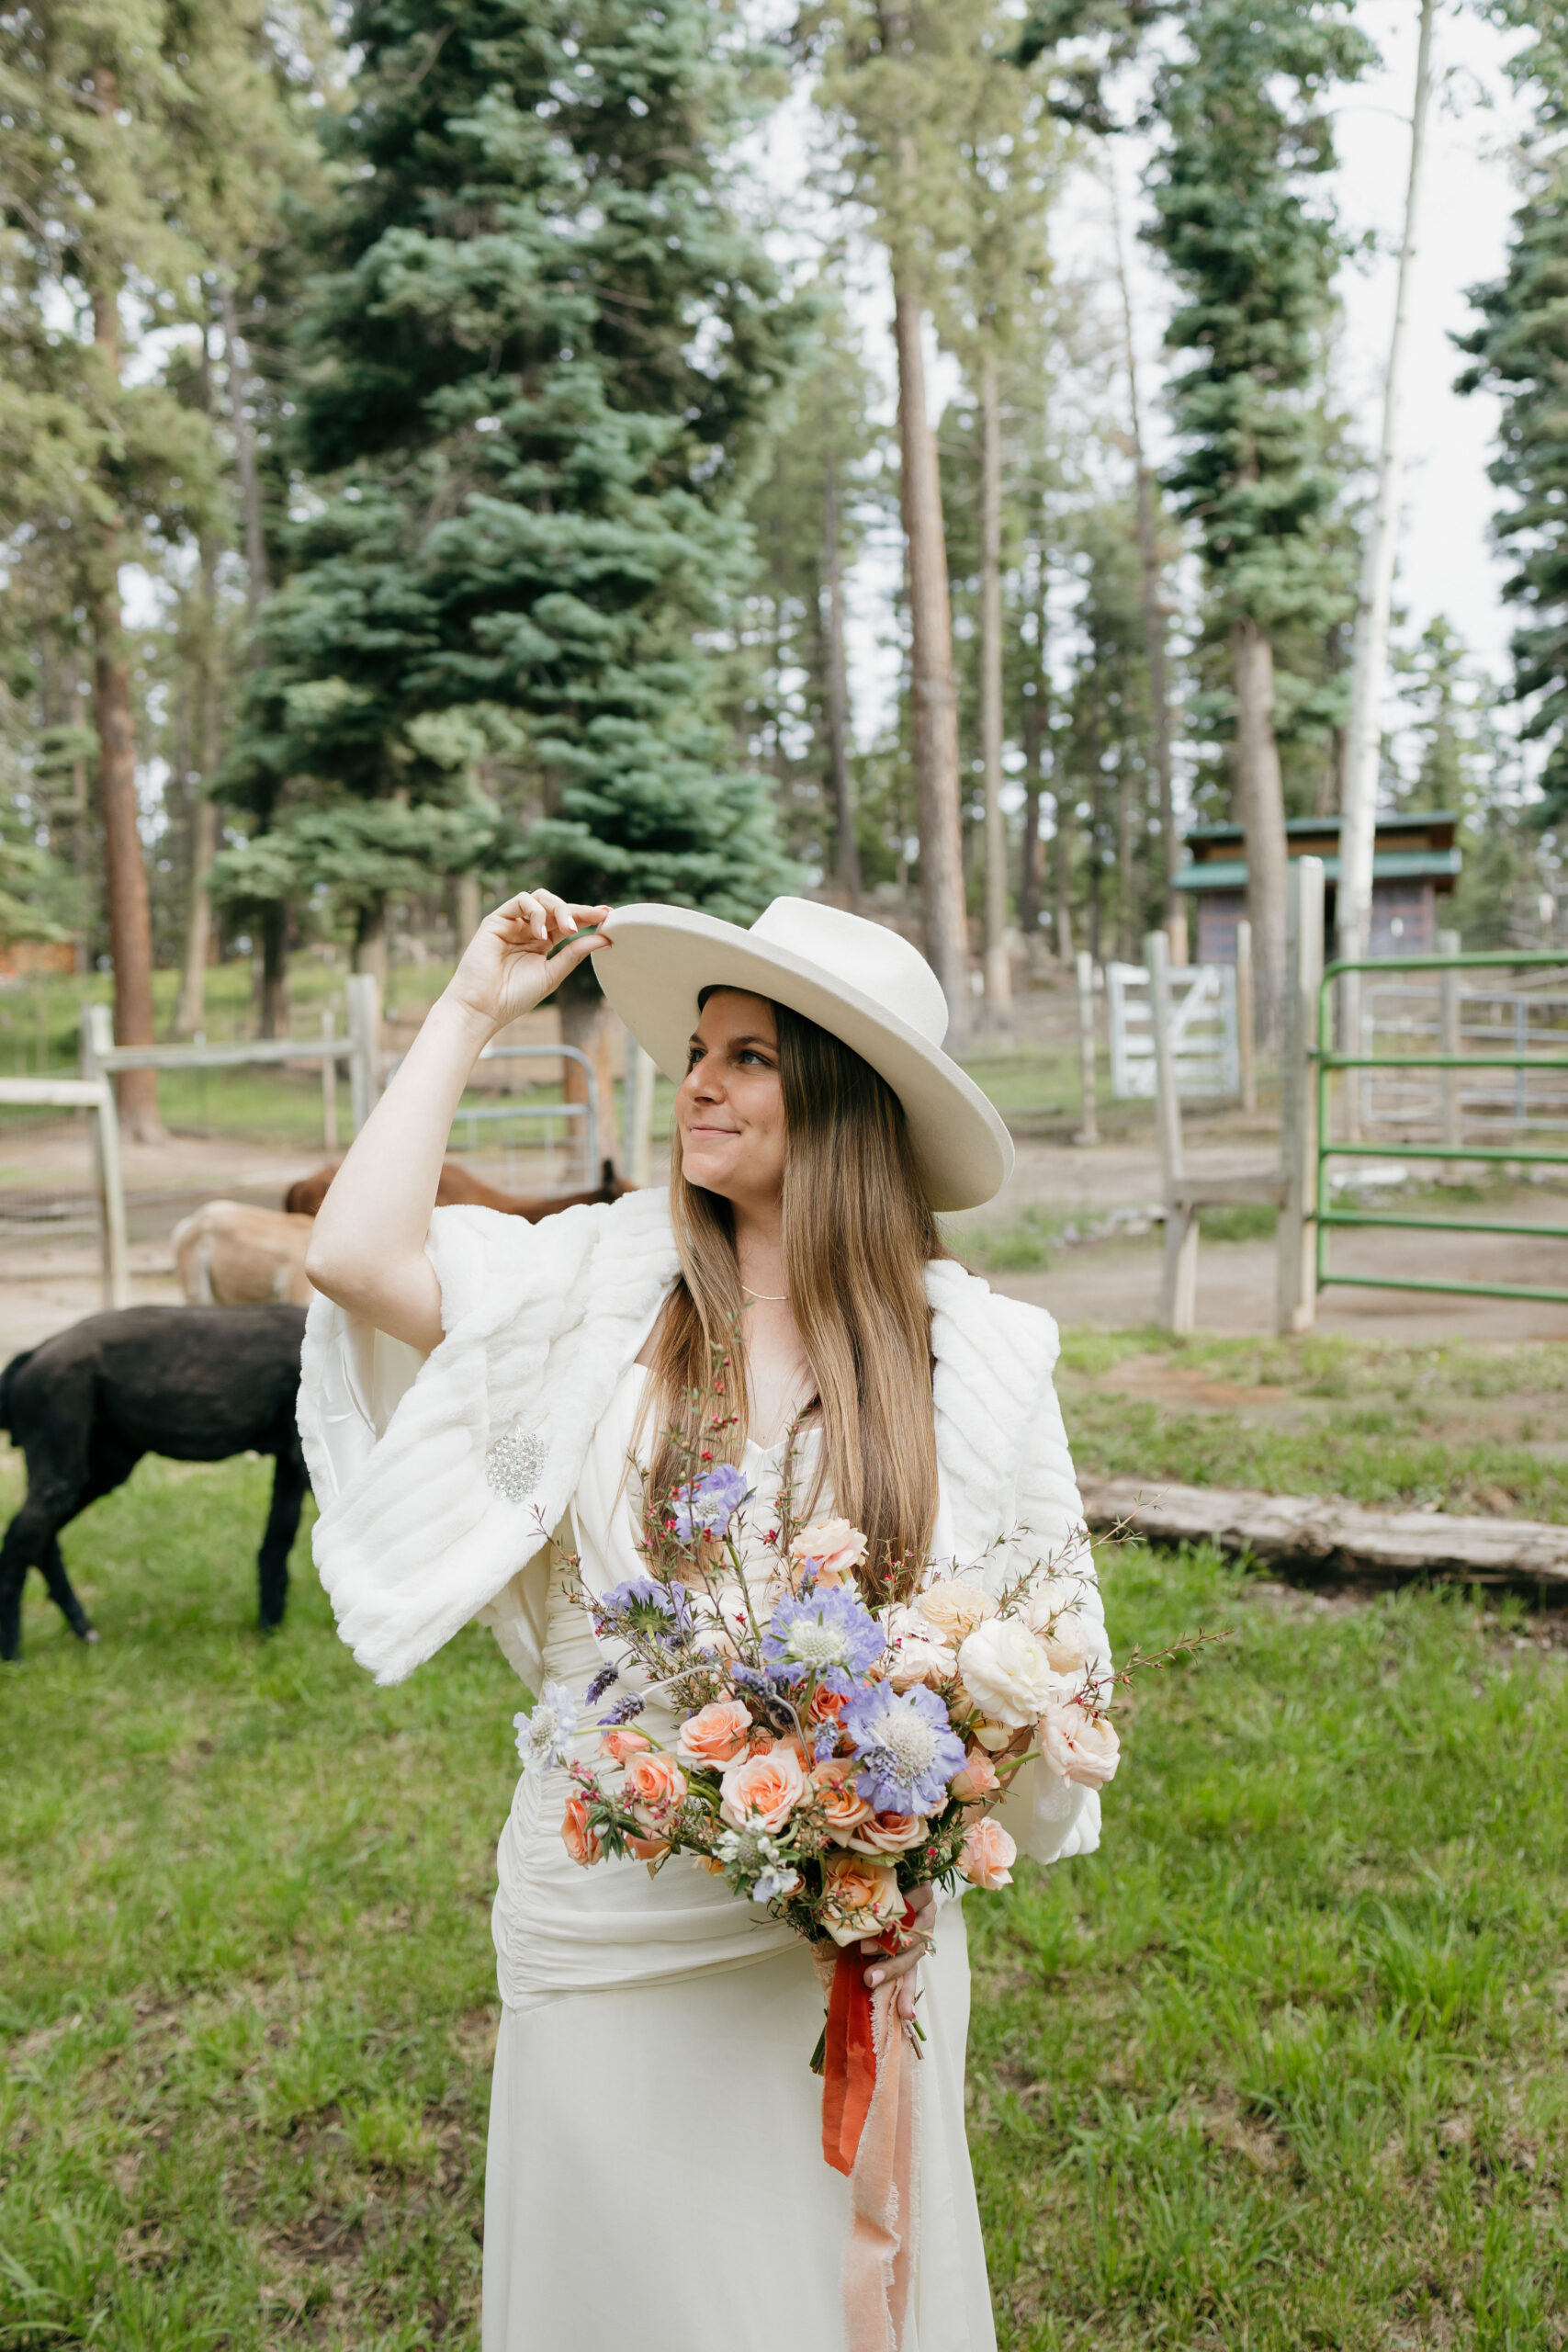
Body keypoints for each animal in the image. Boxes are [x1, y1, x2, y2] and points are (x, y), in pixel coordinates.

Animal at [0, 1298, 310, 1665]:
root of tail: (36, 1352)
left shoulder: (290, 1456)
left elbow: (276, 1542)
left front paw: (269, 1631)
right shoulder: (301, 1453)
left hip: (104, 1459)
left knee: (42, 1538)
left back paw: (83, 1630)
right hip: (61, 1437)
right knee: (21, 1538)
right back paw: (13, 1654)